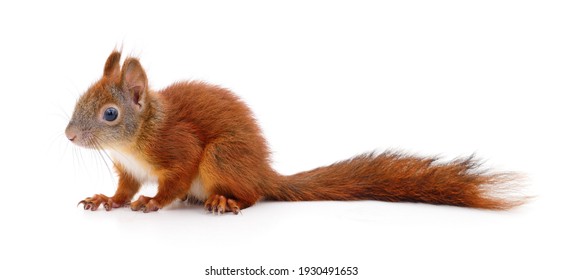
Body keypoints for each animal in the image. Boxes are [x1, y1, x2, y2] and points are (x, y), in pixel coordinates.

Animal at [65, 50, 524, 212]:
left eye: (110, 114)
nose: (69, 135)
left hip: (222, 157)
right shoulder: (128, 170)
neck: (135, 140)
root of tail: (264, 174)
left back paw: (225, 200)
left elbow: (172, 181)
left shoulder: (179, 149)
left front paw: (153, 202)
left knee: (251, 196)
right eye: (80, 98)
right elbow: (124, 189)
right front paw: (107, 199)